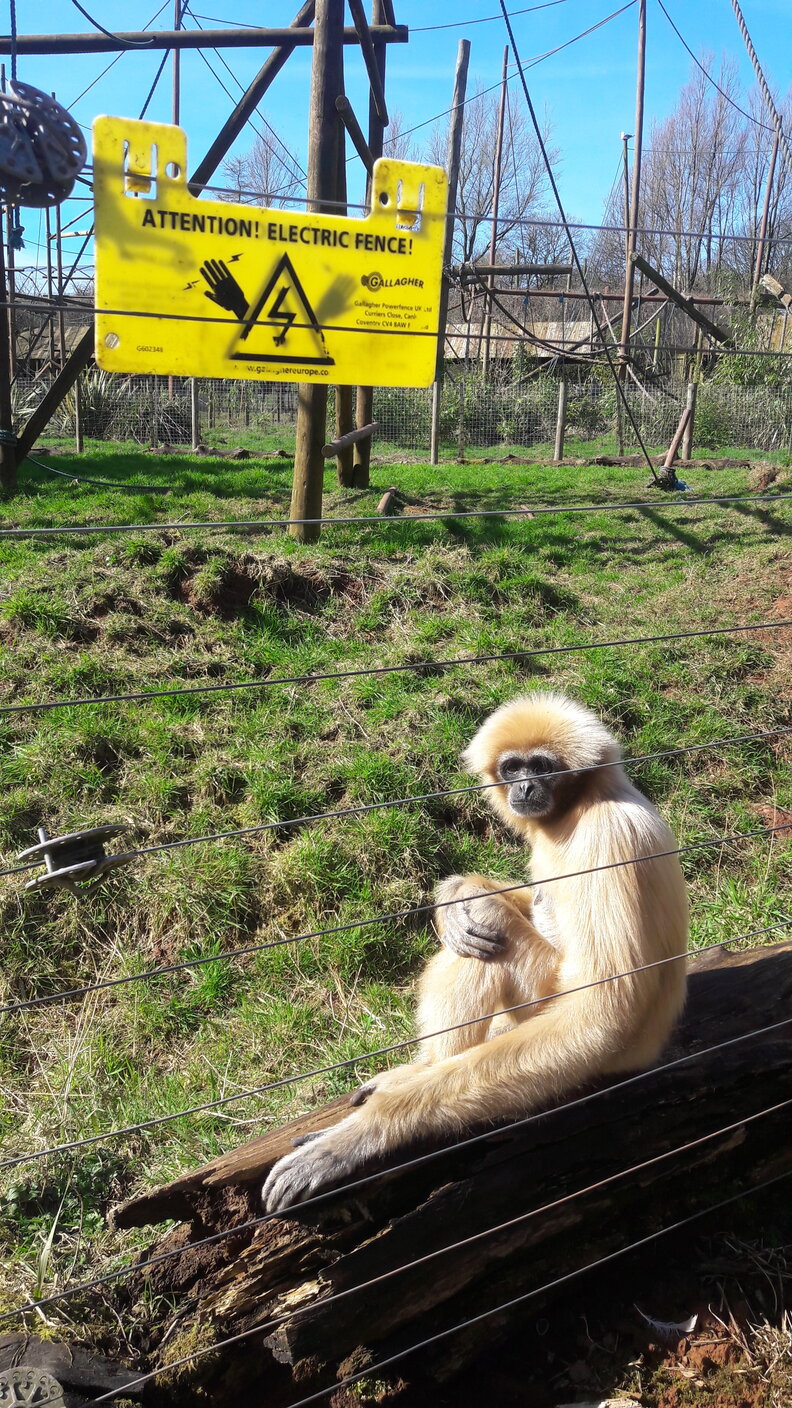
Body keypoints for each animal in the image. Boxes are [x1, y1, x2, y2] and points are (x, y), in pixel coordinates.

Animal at [262, 692, 689, 1213]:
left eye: (541, 767)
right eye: (512, 767)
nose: (524, 787)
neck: (582, 805)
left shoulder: (612, 837)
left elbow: (601, 1014)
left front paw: (364, 1133)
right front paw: (456, 894)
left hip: (562, 1013)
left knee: (491, 940)